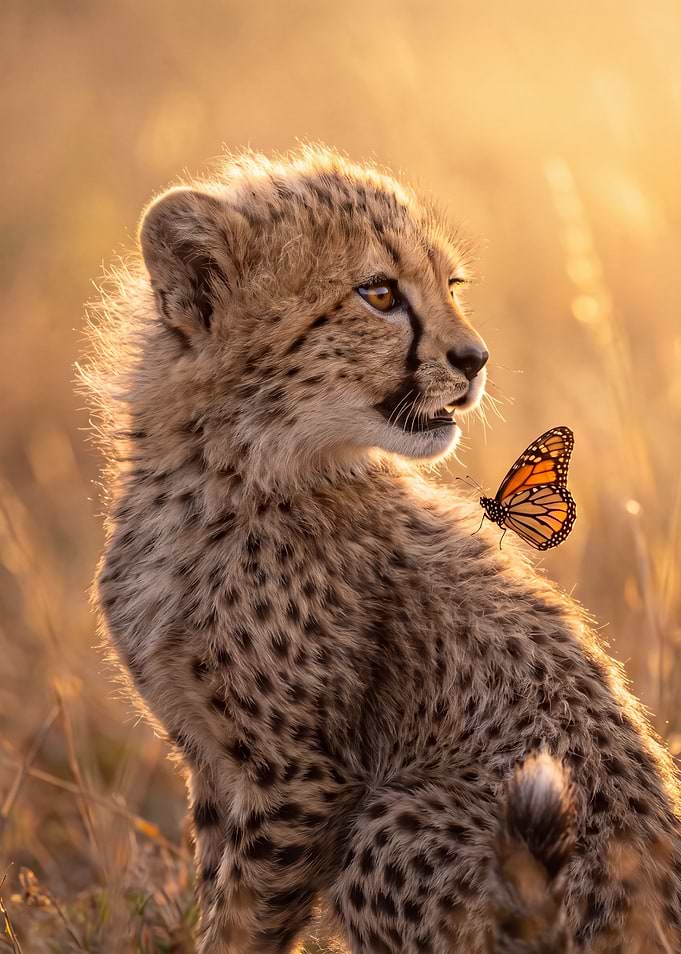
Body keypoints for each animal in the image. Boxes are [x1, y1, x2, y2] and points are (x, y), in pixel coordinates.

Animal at [82, 145, 681, 952]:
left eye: (450, 286)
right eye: (379, 293)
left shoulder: (304, 779)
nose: (475, 358)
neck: (225, 474)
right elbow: (219, 899)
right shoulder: (211, 765)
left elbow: (243, 920)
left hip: (394, 813)